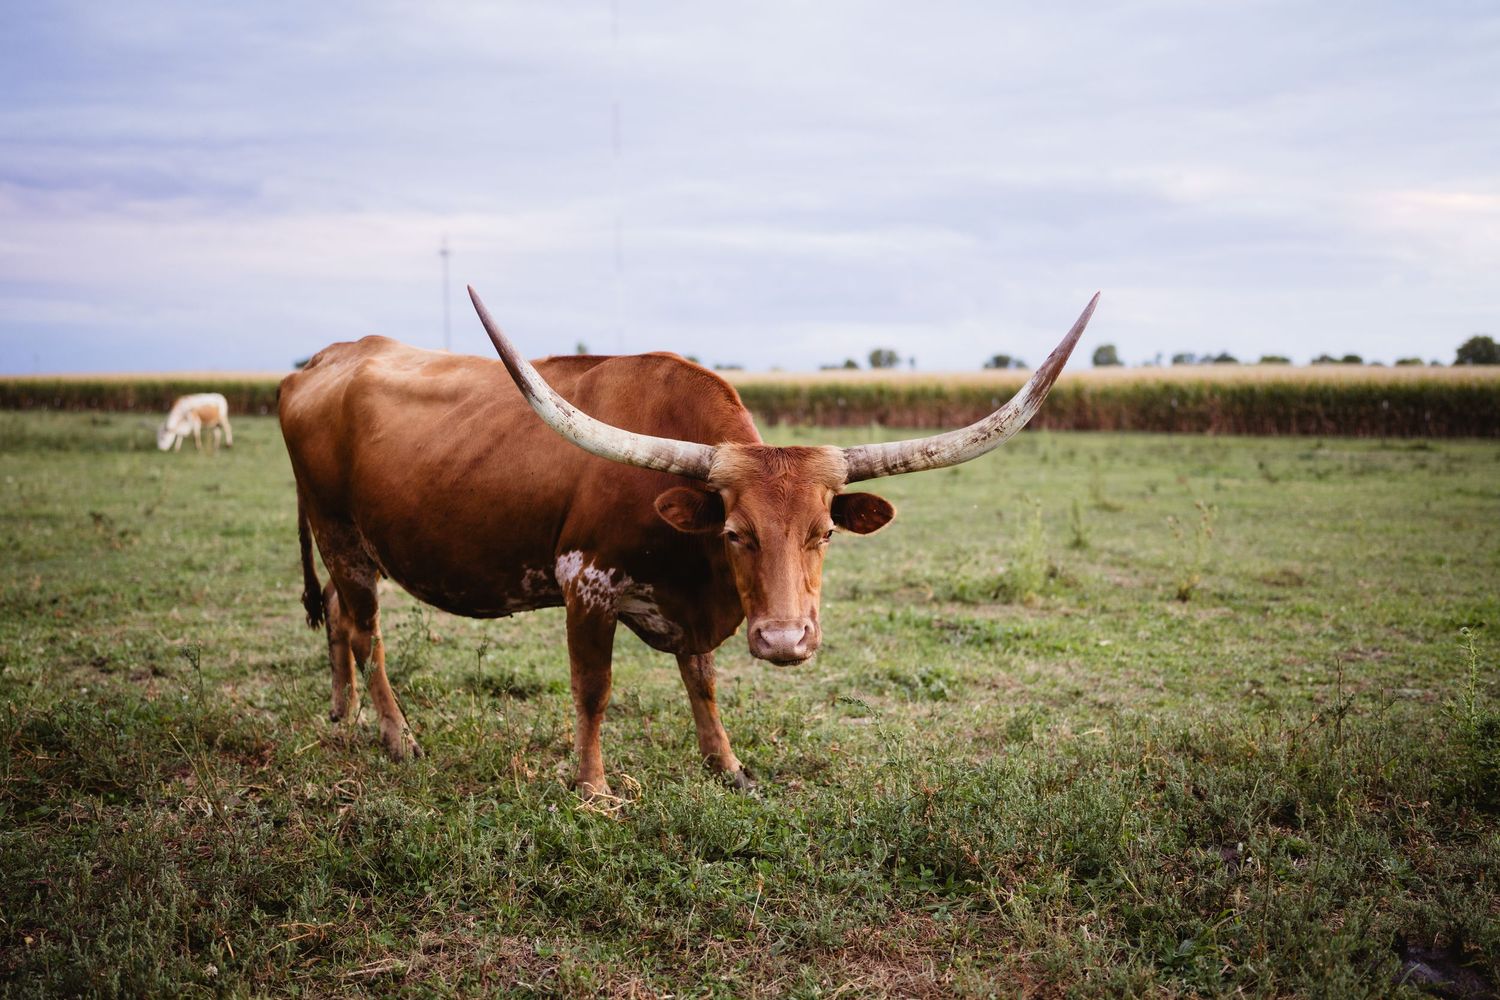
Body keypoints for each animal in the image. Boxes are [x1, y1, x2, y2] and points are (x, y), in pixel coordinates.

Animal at [278, 287, 1097, 797]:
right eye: (736, 532)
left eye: (825, 530)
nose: (785, 640)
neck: (698, 574)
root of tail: (318, 364)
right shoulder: (585, 585)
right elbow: (594, 689)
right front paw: (592, 787)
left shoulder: (695, 613)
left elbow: (702, 680)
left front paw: (727, 766)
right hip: (343, 536)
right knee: (367, 634)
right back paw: (397, 737)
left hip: (343, 546)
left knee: (340, 624)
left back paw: (345, 721)